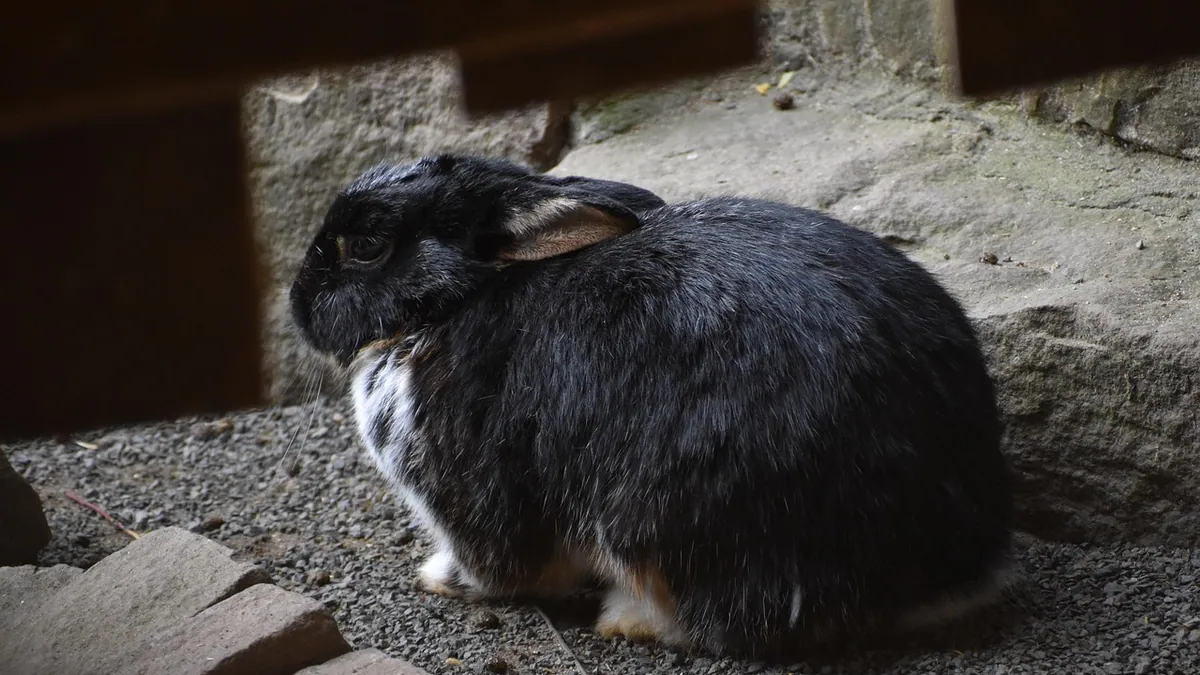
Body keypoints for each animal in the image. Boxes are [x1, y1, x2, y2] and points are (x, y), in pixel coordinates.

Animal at [288, 153, 1016, 657]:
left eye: (368, 246)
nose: (296, 306)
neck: (461, 296)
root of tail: (939, 572)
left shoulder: (468, 489)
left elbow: (496, 562)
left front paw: (437, 577)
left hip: (674, 519)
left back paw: (628, 618)